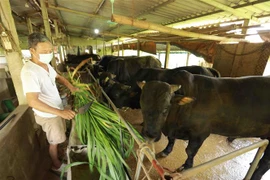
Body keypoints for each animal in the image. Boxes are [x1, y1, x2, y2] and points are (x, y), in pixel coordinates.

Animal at [138, 70, 270, 180]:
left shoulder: (200, 133)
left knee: (266, 163)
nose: (150, 135)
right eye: (142, 106)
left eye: (166, 108)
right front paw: (166, 151)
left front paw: (186, 166)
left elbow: (190, 151)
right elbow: (171, 140)